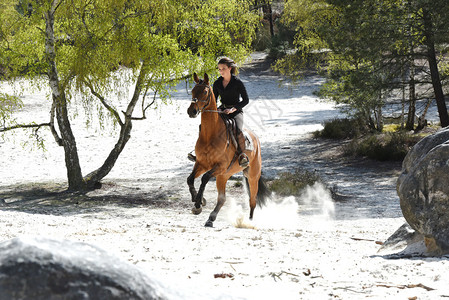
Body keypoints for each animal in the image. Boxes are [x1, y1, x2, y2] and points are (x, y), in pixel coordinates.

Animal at [186, 73, 270, 227]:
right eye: (193, 91)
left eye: (205, 92)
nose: (192, 111)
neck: (210, 135)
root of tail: (256, 139)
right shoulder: (201, 164)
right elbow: (190, 179)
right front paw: (199, 202)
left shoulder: (220, 166)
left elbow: (205, 178)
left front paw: (198, 203)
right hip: (224, 176)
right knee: (222, 198)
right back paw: (211, 218)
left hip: (251, 176)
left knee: (253, 200)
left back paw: (249, 222)